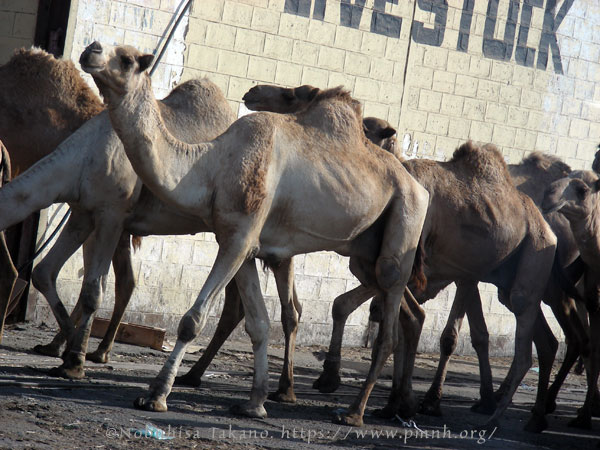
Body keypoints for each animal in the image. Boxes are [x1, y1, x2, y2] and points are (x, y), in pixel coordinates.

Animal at [79, 39, 428, 426]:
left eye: (126, 59)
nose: (91, 49)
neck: (211, 165)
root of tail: (418, 185)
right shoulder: (240, 243)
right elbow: (258, 324)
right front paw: (254, 403)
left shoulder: (240, 237)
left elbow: (192, 320)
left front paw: (155, 396)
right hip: (364, 251)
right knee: (391, 303)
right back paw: (391, 404)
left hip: (406, 218)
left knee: (388, 320)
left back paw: (354, 413)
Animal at [240, 82, 556, 430]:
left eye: (294, 95)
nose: (253, 92)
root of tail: (546, 226)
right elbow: (367, 311)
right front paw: (390, 400)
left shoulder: (421, 268)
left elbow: (411, 324)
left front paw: (403, 402)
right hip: (502, 281)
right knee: (542, 339)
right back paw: (527, 414)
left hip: (525, 265)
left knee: (517, 344)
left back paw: (492, 415)